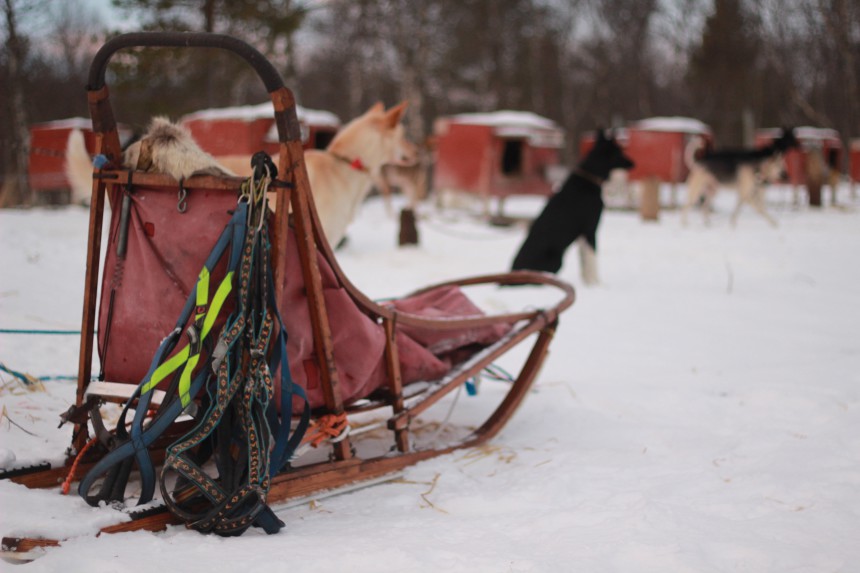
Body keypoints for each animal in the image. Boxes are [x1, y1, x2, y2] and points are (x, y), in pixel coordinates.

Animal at [510, 128, 632, 282]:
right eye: (620, 151)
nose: (633, 163)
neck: (589, 177)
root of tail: (513, 273)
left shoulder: (581, 236)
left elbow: (583, 262)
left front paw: (586, 282)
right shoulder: (590, 229)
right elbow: (592, 259)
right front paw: (595, 283)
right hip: (557, 259)